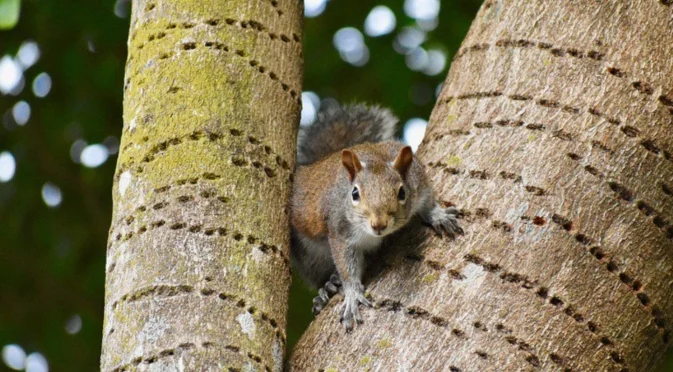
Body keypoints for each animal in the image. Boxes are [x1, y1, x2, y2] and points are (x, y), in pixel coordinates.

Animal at [288, 101, 462, 332]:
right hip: (308, 256)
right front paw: (352, 295)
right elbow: (346, 266)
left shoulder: (418, 181)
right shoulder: (340, 230)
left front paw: (438, 215)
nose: (378, 224)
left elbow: (428, 201)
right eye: (354, 194)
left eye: (402, 192)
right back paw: (327, 288)